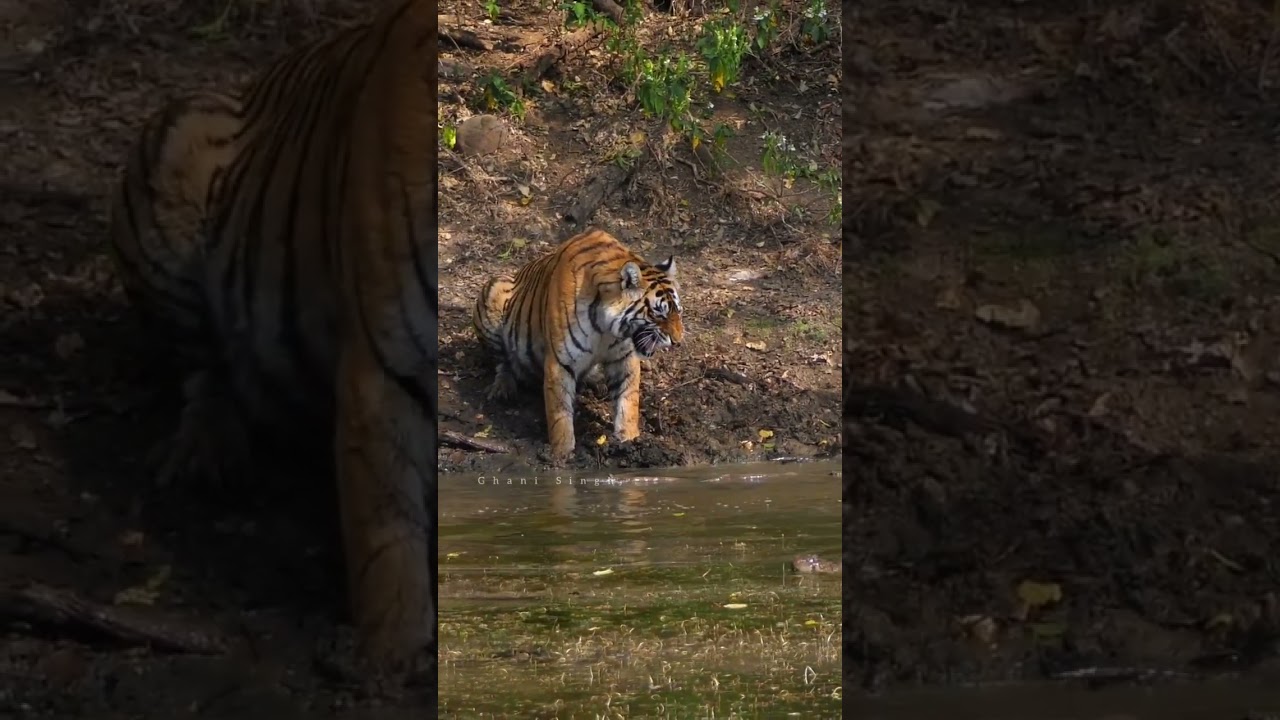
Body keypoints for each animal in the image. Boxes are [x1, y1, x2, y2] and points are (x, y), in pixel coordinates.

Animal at [107, 0, 437, 676]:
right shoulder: (383, 366)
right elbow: (388, 533)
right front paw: (393, 658)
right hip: (177, 154)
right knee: (204, 371)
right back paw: (208, 456)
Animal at [472, 229, 684, 461]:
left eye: (678, 311)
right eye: (659, 314)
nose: (678, 341)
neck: (606, 328)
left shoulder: (624, 359)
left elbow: (628, 403)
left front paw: (631, 442)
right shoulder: (560, 362)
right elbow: (560, 414)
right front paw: (562, 456)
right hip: (494, 293)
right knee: (503, 362)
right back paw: (503, 388)